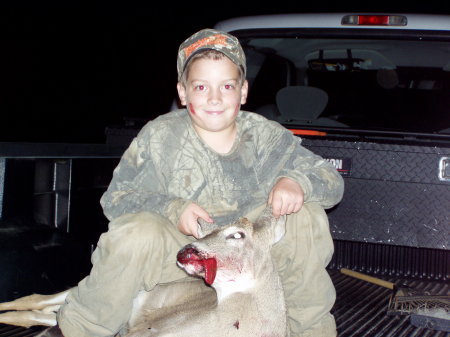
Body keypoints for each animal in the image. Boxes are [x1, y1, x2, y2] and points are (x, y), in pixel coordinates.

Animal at [0, 205, 288, 336]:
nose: (186, 249)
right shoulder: (144, 331)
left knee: (41, 312)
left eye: (237, 234)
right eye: (210, 231)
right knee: (37, 300)